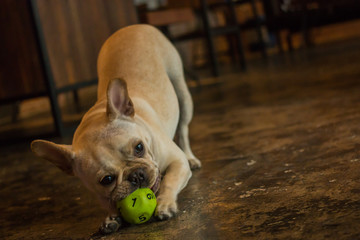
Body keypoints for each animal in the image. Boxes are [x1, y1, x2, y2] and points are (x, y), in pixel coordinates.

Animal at [30, 24, 200, 234]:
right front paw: (112, 217)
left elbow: (170, 182)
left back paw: (191, 157)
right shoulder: (100, 193)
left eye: (139, 147)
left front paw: (165, 204)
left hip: (181, 92)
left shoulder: (177, 162)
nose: (136, 175)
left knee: (183, 128)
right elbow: (108, 201)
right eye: (107, 179)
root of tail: (132, 27)